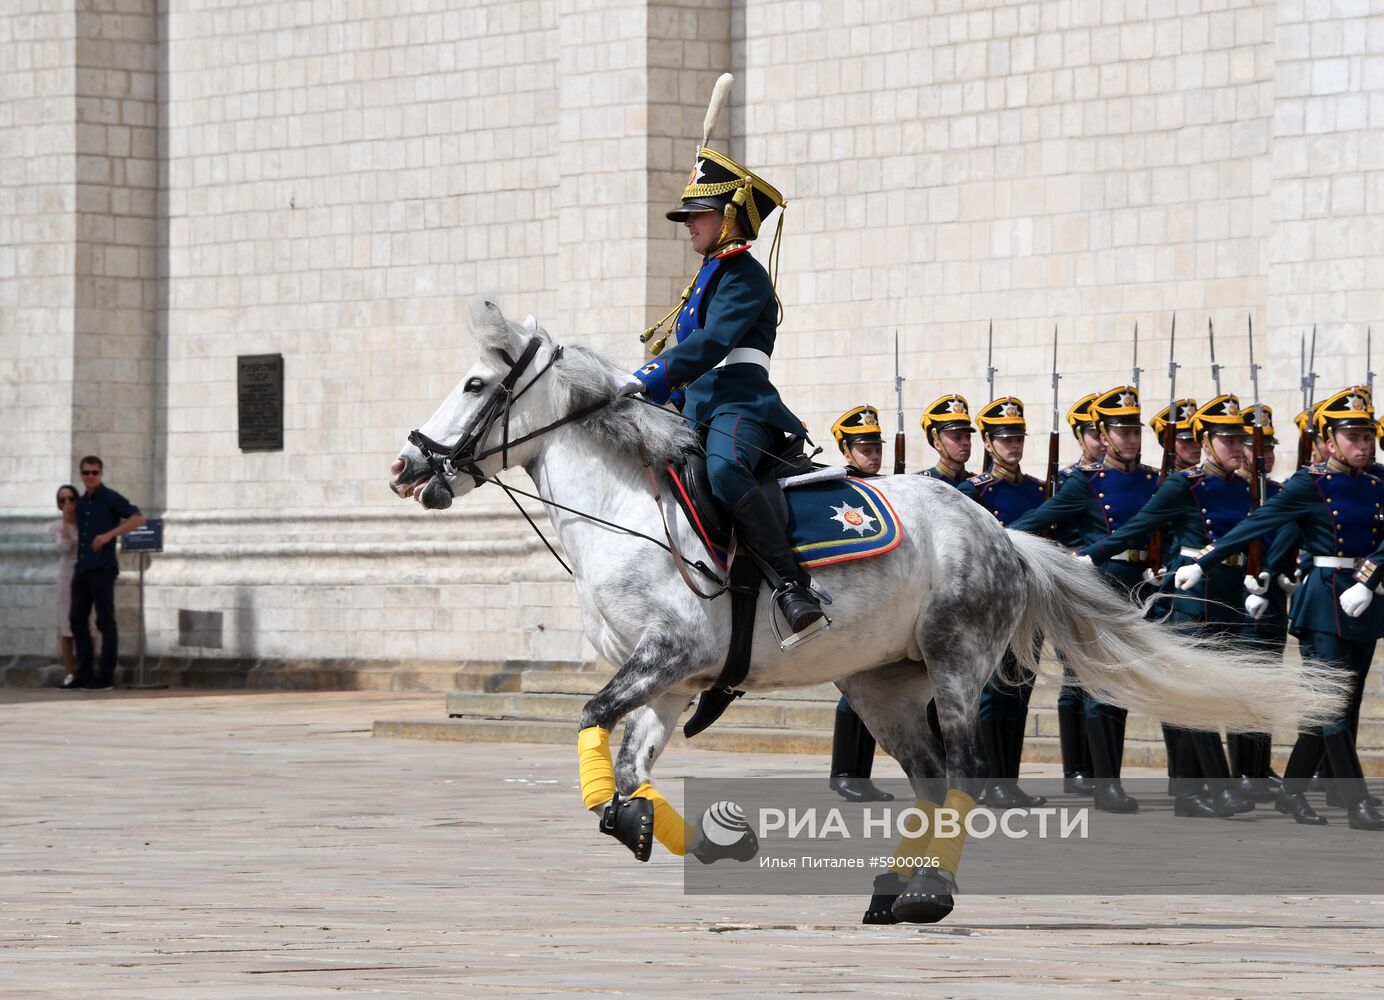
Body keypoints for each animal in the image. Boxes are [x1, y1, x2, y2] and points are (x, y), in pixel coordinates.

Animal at [390, 301, 1339, 929]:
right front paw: (673, 832)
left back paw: (933, 897)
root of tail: (998, 531)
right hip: (882, 687)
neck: (625, 508)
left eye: (475, 381)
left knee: (962, 773)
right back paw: (897, 888)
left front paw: (630, 820)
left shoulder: (665, 656)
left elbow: (589, 720)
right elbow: (629, 763)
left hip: (955, 667)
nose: (408, 467)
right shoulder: (669, 678)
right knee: (925, 776)